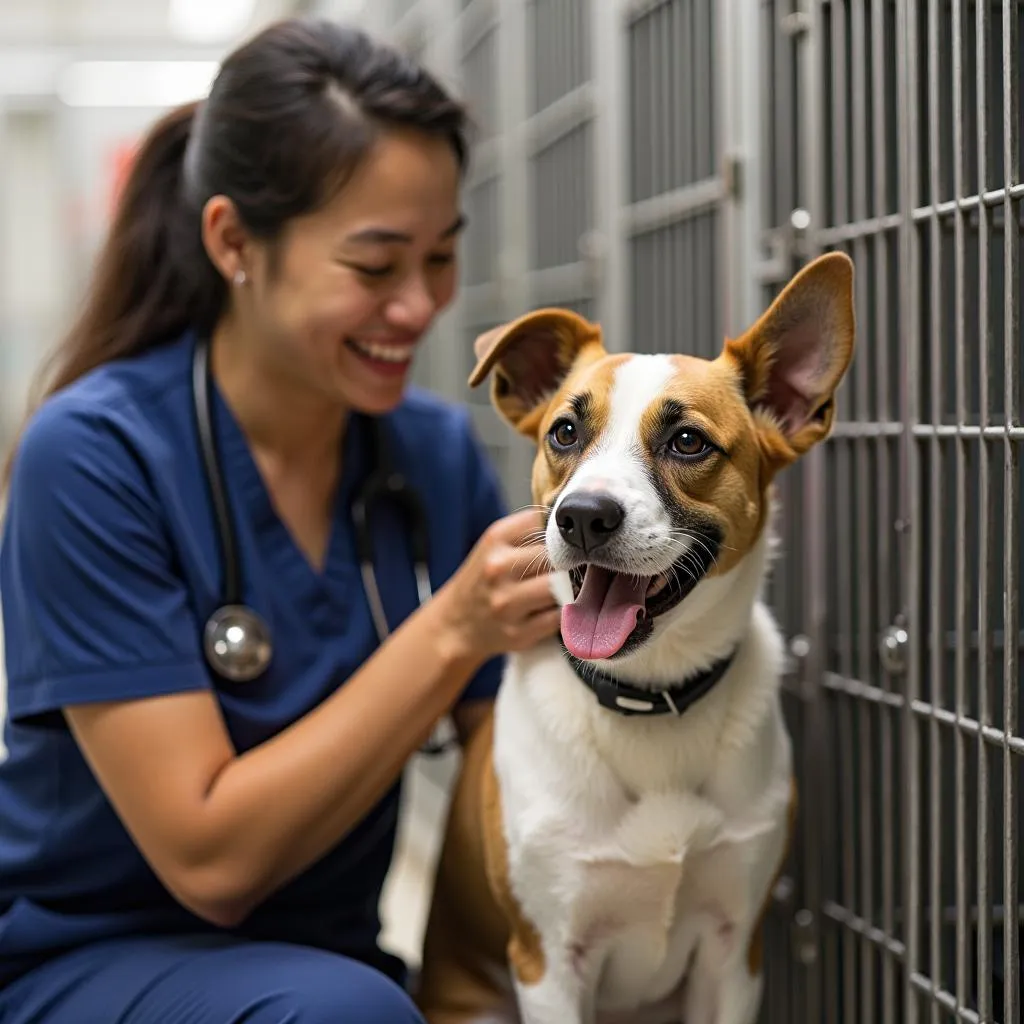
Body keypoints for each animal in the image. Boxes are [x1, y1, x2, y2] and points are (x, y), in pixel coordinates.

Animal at [415, 249, 856, 1024]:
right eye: (564, 432)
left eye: (687, 442)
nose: (583, 517)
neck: (650, 700)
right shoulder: (548, 965)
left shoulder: (732, 956)